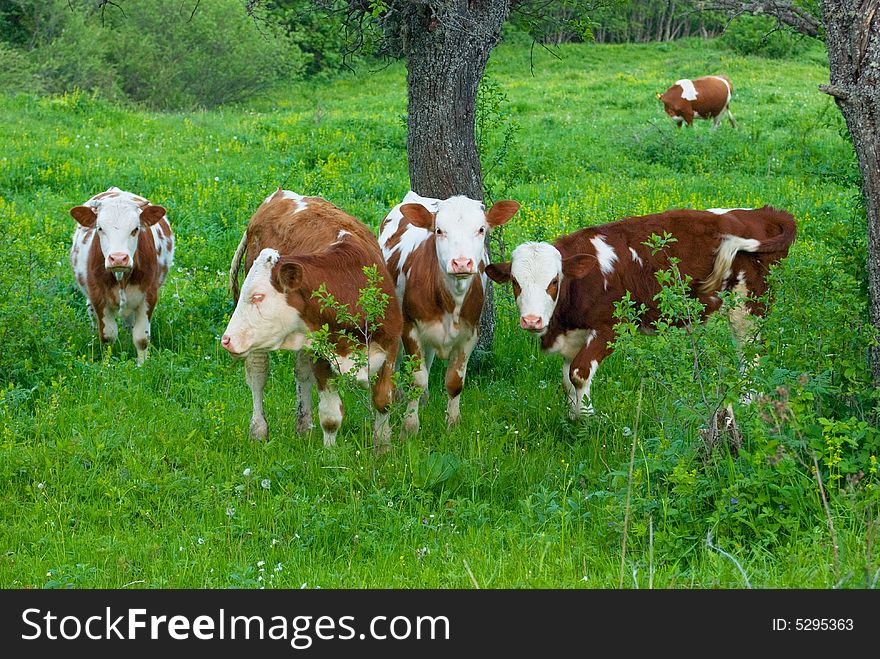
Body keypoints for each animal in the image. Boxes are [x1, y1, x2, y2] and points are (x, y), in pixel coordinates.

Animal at [69, 187, 174, 366]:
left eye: (135, 229)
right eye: (100, 228)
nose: (118, 258)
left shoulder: (149, 296)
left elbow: (141, 338)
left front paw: (142, 365)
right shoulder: (98, 297)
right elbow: (108, 336)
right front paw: (107, 364)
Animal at [222, 188, 400, 452]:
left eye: (258, 296)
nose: (226, 339)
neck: (350, 284)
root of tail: (279, 195)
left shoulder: (391, 347)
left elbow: (383, 400)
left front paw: (383, 447)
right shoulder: (322, 356)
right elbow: (330, 415)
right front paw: (331, 455)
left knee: (301, 372)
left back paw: (303, 427)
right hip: (257, 341)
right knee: (257, 373)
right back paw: (259, 431)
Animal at [380, 192, 520, 438]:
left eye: (481, 229)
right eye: (439, 230)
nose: (461, 262)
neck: (449, 300)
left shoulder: (470, 333)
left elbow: (455, 381)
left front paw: (453, 425)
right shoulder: (410, 327)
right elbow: (416, 379)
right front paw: (410, 427)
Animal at [484, 208, 796, 418]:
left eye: (553, 281)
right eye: (515, 282)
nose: (532, 320)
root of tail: (763, 213)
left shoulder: (610, 326)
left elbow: (578, 373)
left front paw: (586, 420)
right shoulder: (573, 335)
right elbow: (566, 380)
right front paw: (573, 417)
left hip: (749, 303)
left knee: (750, 352)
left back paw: (746, 401)